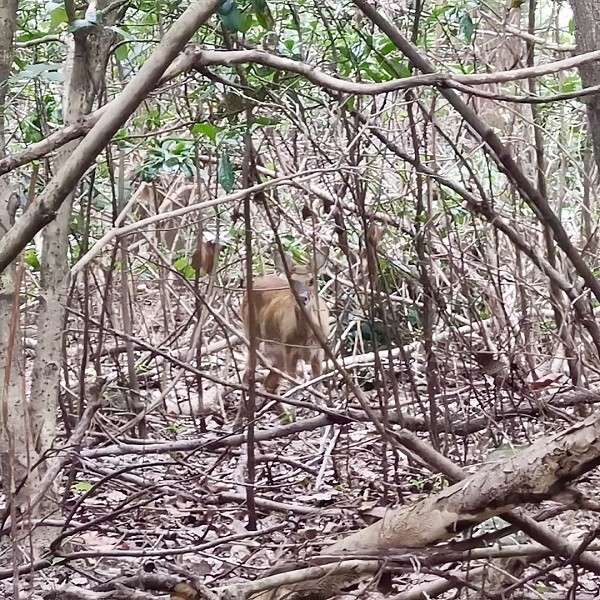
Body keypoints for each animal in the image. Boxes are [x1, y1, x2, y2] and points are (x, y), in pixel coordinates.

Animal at [241, 254, 330, 398]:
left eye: (311, 280)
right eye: (292, 281)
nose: (302, 298)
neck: (305, 337)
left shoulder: (319, 352)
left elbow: (318, 389)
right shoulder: (289, 351)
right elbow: (293, 388)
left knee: (269, 380)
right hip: (251, 330)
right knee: (249, 369)